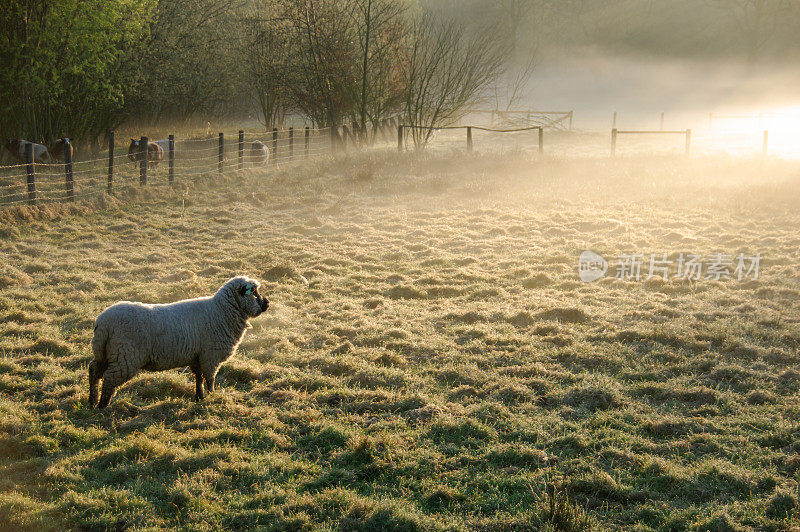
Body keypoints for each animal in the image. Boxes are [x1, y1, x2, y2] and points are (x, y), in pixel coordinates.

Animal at [88, 276, 268, 410]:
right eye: (253, 292)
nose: (267, 304)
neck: (222, 311)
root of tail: (103, 321)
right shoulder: (210, 356)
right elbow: (210, 379)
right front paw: (212, 397)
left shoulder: (197, 357)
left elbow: (198, 378)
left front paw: (199, 397)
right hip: (125, 356)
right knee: (109, 379)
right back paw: (103, 405)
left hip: (105, 353)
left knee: (94, 370)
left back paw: (92, 401)